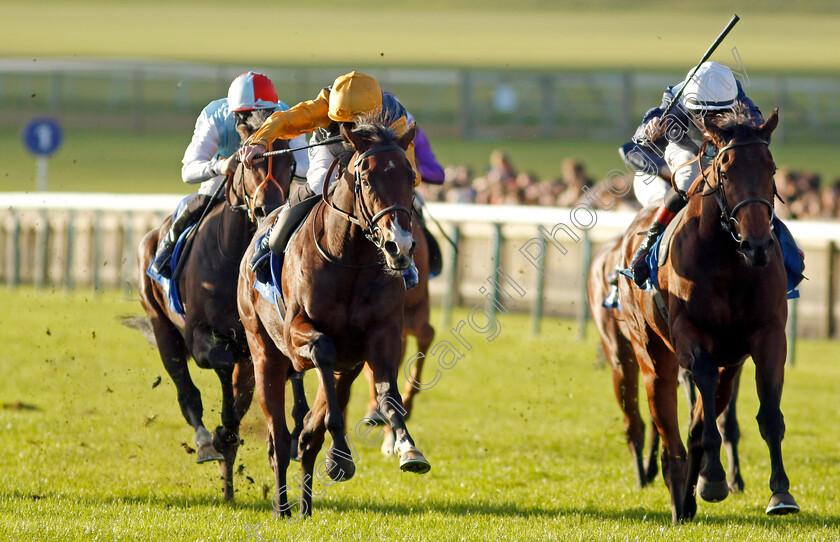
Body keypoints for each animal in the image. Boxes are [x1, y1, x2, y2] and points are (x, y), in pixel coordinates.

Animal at [136, 117, 296, 504]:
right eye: (251, 162)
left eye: (290, 164)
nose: (267, 208)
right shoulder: (199, 336)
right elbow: (221, 365)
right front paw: (221, 432)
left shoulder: (255, 345)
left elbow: (245, 390)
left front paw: (230, 432)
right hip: (162, 328)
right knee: (186, 391)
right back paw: (207, 442)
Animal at [238, 120, 430, 524]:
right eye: (368, 179)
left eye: (411, 177)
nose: (401, 246)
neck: (350, 258)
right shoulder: (298, 336)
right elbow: (322, 350)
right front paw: (341, 459)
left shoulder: (381, 336)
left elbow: (388, 396)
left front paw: (407, 449)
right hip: (263, 353)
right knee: (279, 438)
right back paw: (283, 507)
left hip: (348, 367)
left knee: (308, 435)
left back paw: (306, 506)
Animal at [616, 108, 800, 524]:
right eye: (726, 172)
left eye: (772, 169)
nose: (757, 245)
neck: (730, 262)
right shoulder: (692, 338)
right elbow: (701, 412)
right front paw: (713, 479)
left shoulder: (767, 337)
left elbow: (768, 414)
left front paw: (780, 492)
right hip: (651, 355)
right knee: (669, 430)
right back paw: (678, 497)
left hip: (729, 363)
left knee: (698, 421)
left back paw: (689, 496)